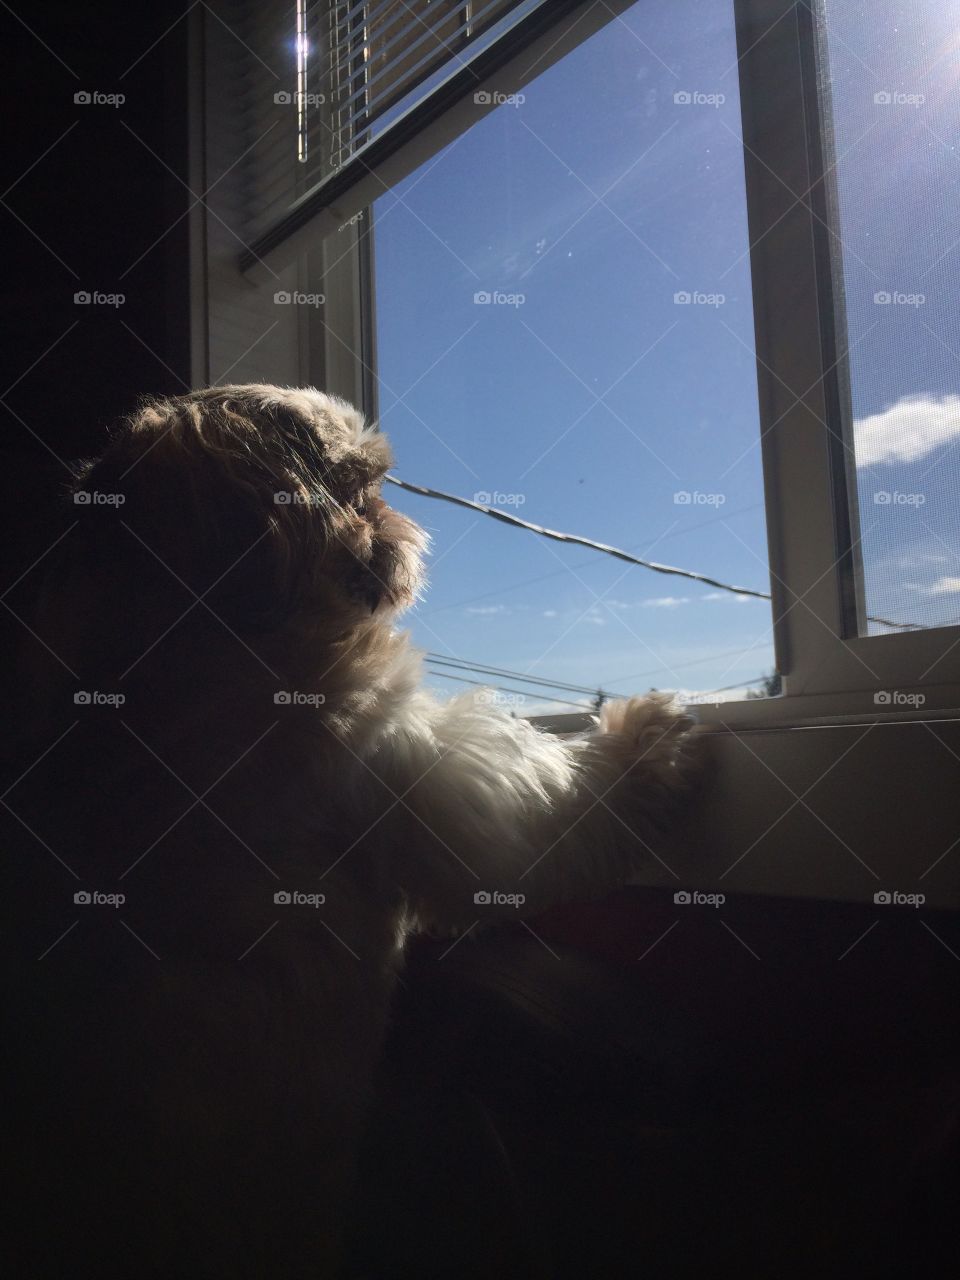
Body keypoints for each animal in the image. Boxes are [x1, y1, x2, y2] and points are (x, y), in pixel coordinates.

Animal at [15, 384, 701, 1274]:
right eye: (361, 487)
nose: (401, 521)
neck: (193, 636)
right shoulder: (397, 753)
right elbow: (536, 824)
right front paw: (644, 740)